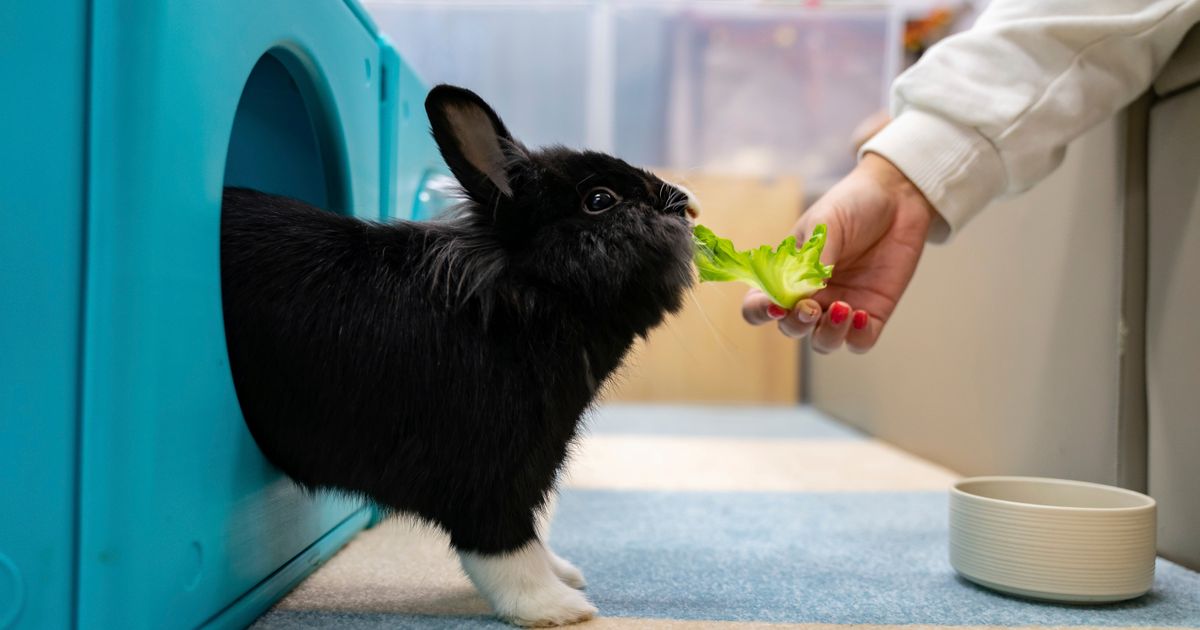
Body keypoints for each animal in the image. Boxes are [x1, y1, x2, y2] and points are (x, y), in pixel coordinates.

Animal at [220, 84, 699, 626]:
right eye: (601, 200)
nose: (685, 203)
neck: (525, 297)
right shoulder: (492, 470)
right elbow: (504, 546)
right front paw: (557, 605)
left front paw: (564, 573)